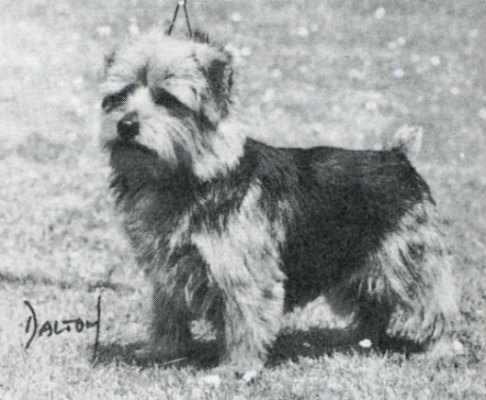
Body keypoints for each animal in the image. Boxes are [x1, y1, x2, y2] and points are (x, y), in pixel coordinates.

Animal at [100, 29, 460, 375]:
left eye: (167, 99)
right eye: (118, 96)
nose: (125, 125)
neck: (189, 175)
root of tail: (398, 156)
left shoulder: (243, 275)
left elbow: (244, 322)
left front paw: (237, 368)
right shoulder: (166, 268)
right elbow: (167, 313)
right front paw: (161, 352)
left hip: (408, 260)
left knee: (435, 303)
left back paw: (440, 351)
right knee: (374, 304)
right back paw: (361, 342)